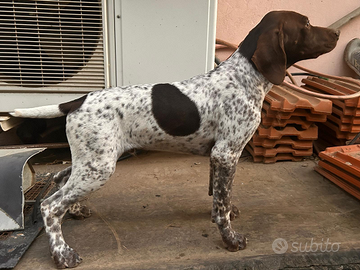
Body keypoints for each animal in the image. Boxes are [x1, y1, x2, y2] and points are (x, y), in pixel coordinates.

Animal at [9, 10, 338, 268]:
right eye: (307, 24)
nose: (336, 33)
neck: (245, 77)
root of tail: (77, 100)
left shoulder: (219, 156)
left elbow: (220, 196)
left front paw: (226, 212)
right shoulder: (226, 153)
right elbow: (221, 204)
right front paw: (230, 239)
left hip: (94, 158)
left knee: (61, 177)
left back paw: (76, 211)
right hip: (100, 165)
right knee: (50, 205)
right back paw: (62, 254)